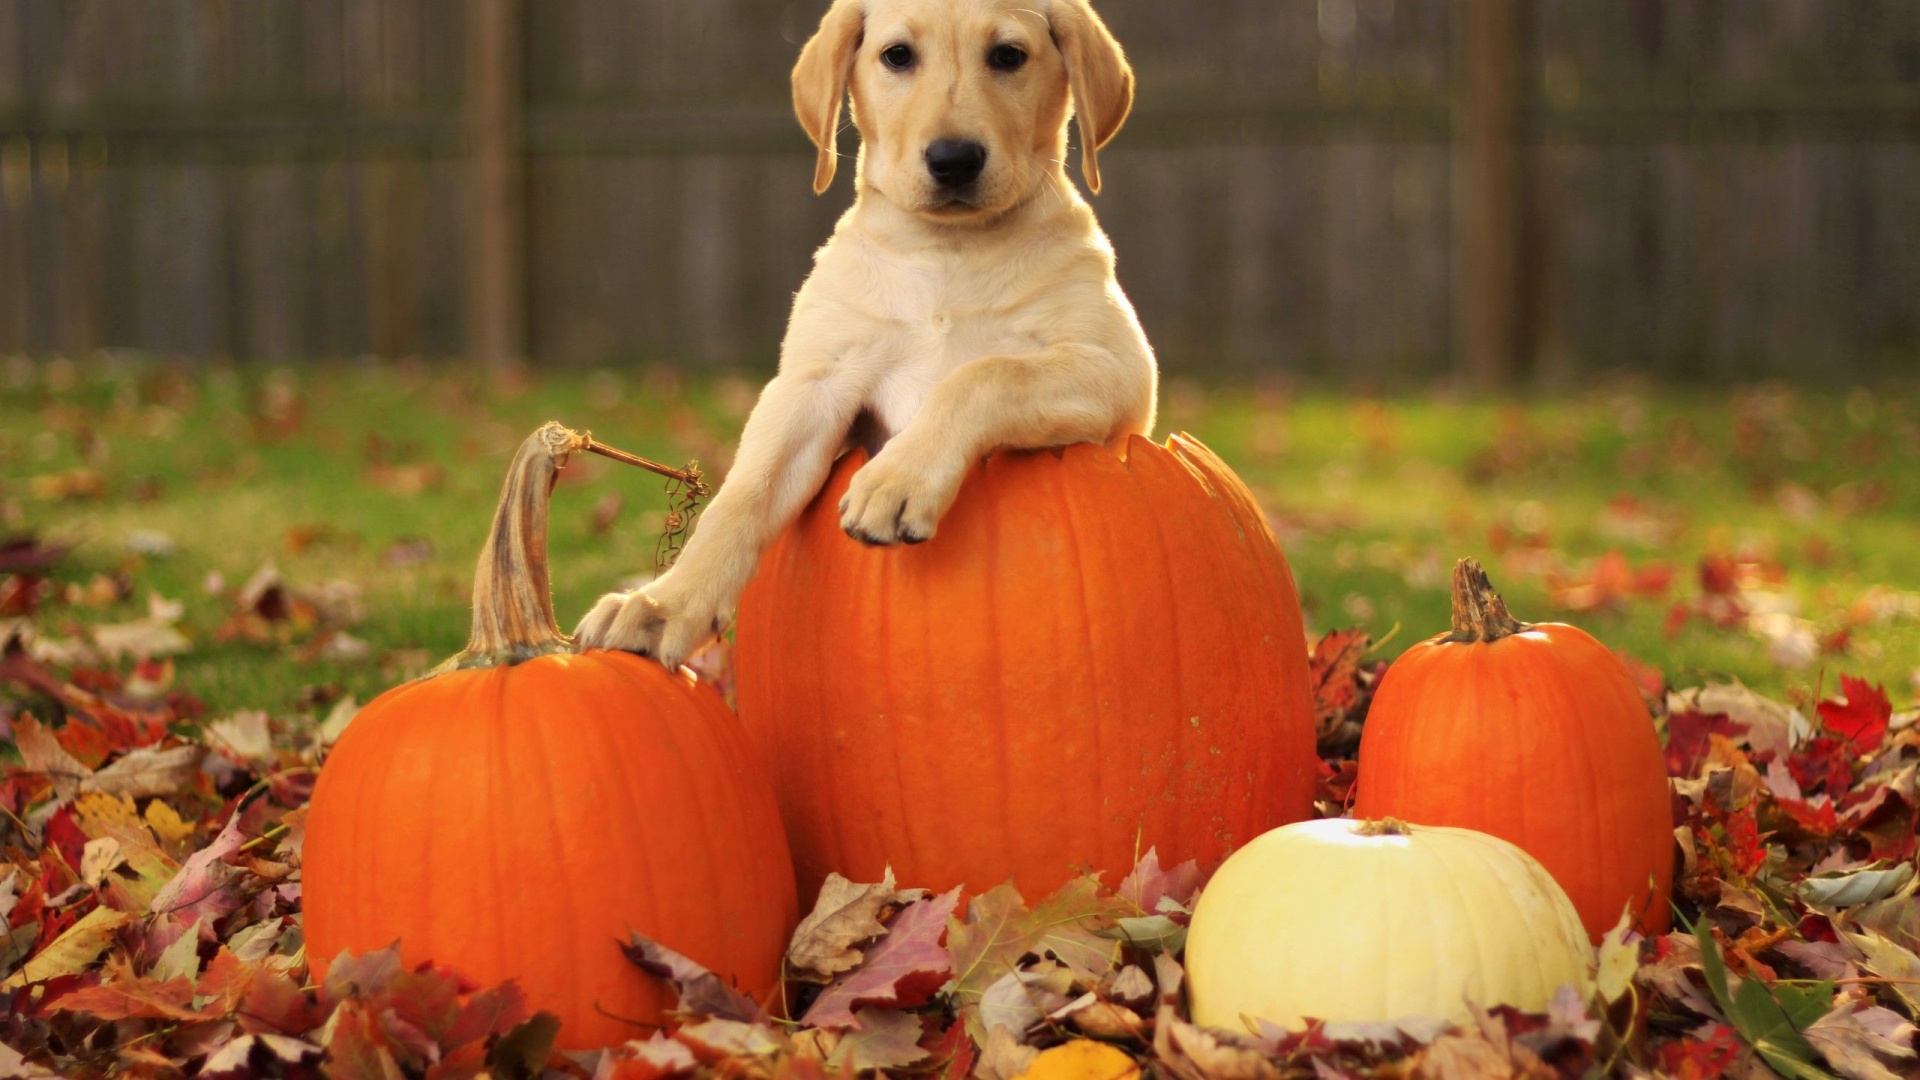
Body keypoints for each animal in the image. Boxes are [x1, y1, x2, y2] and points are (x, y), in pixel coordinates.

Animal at [576, 0, 1152, 661]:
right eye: (897, 56)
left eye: (1009, 55)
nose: (954, 159)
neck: (948, 252)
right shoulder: (813, 386)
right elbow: (743, 494)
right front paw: (663, 604)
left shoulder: (1119, 371)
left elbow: (985, 373)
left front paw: (898, 478)